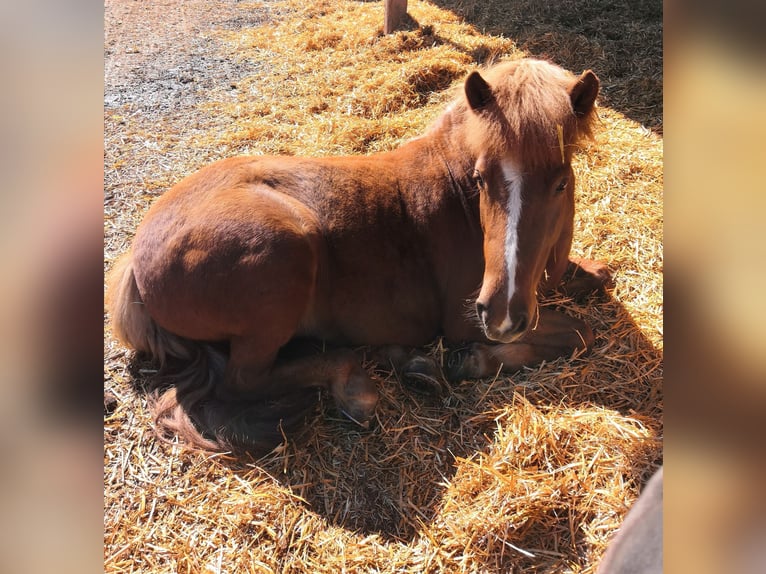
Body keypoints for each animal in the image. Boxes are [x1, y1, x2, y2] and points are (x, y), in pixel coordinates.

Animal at [107, 58, 610, 453]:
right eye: (482, 178)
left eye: (561, 183)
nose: (503, 313)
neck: (457, 196)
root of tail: (134, 262)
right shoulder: (465, 319)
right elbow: (579, 332)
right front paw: (473, 360)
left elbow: (594, 278)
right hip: (284, 249)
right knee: (244, 379)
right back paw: (359, 386)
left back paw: (408, 363)